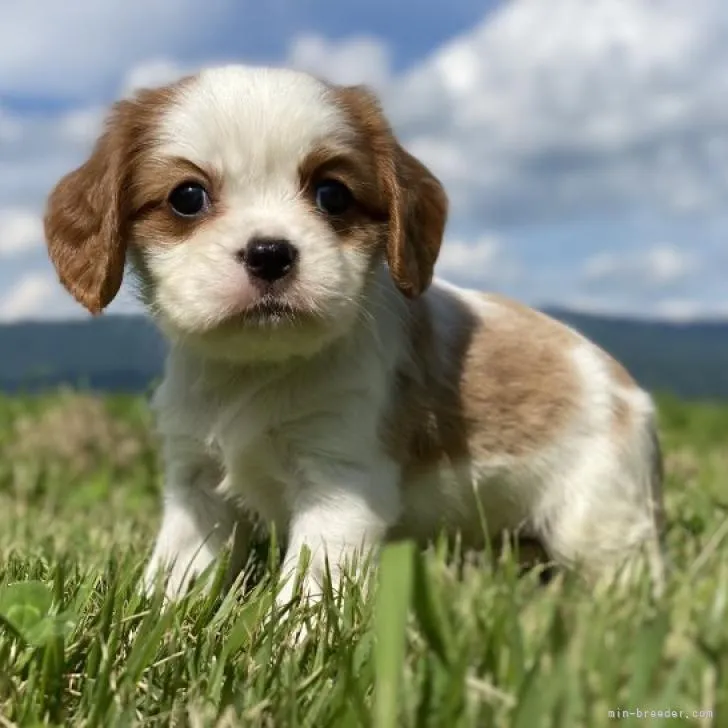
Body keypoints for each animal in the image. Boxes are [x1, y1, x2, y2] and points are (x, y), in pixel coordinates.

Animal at [41, 65, 664, 604]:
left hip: (600, 511)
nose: (270, 252)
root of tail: (627, 387)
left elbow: (313, 588)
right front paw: (154, 617)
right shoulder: (197, 484)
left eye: (332, 194)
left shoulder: (339, 484)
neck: (257, 369)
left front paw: (290, 645)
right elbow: (177, 570)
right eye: (187, 197)